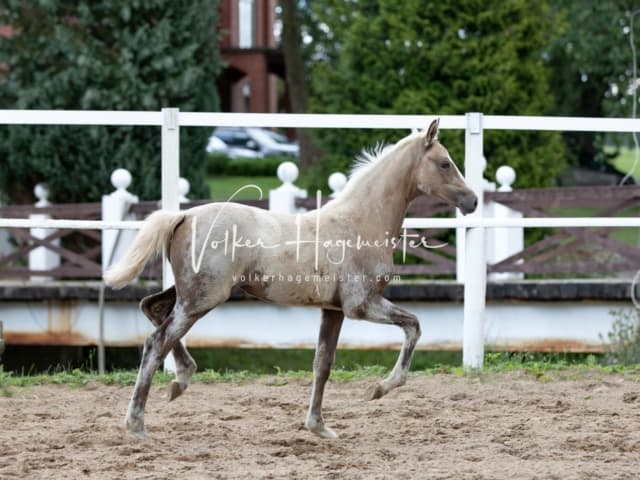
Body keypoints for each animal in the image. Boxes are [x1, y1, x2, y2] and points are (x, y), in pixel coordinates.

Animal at [105, 119, 476, 438]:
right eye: (445, 163)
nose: (472, 200)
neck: (360, 222)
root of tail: (182, 215)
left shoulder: (334, 310)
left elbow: (323, 364)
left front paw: (318, 427)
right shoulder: (361, 305)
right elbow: (414, 326)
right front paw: (379, 388)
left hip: (191, 293)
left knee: (151, 307)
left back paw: (180, 379)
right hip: (203, 297)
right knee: (156, 342)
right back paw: (137, 423)